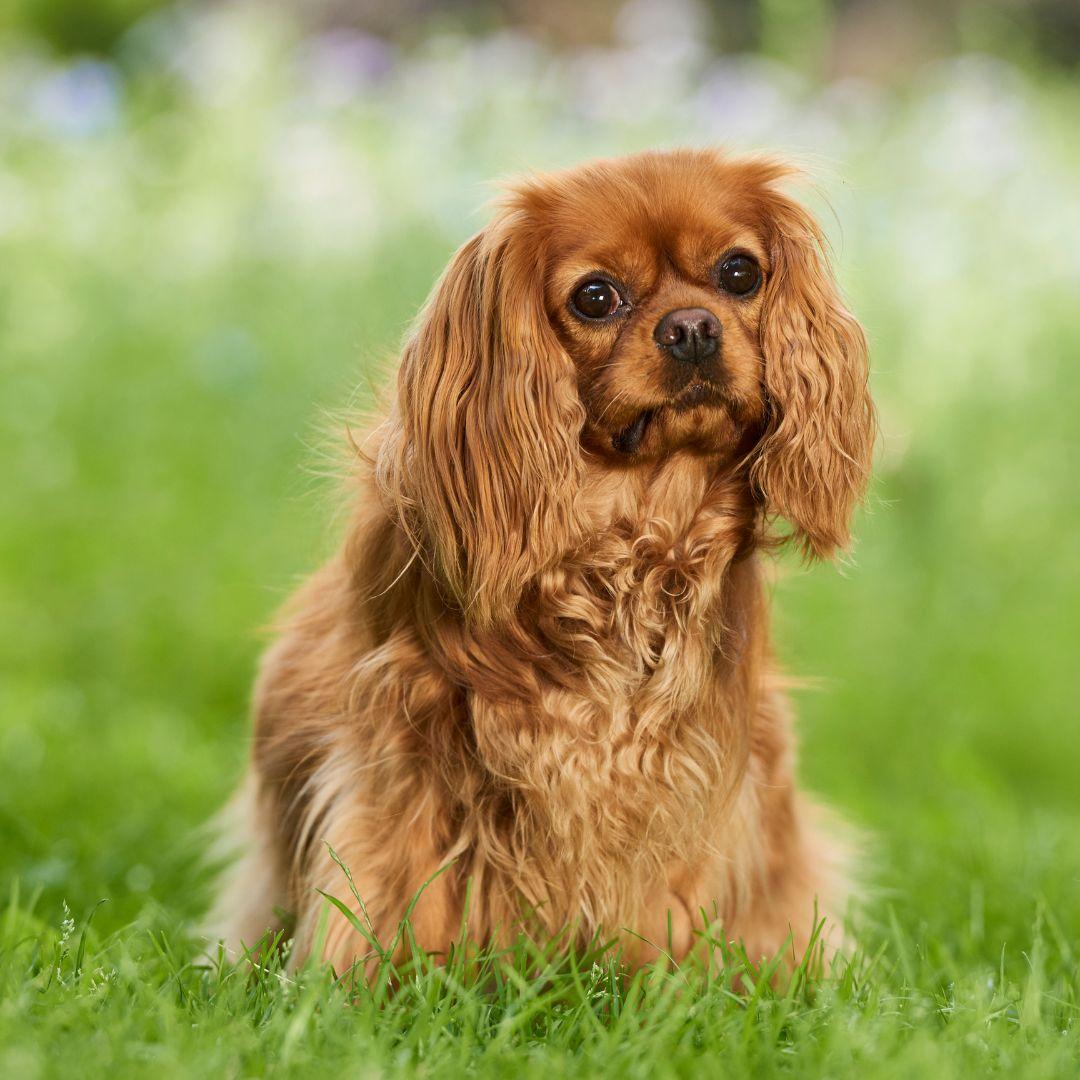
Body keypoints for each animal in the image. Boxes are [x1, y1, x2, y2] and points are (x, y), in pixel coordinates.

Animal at [206, 147, 872, 976]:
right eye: (595, 297)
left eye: (740, 273)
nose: (691, 327)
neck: (630, 535)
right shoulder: (403, 751)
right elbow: (396, 879)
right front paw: (378, 982)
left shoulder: (686, 769)